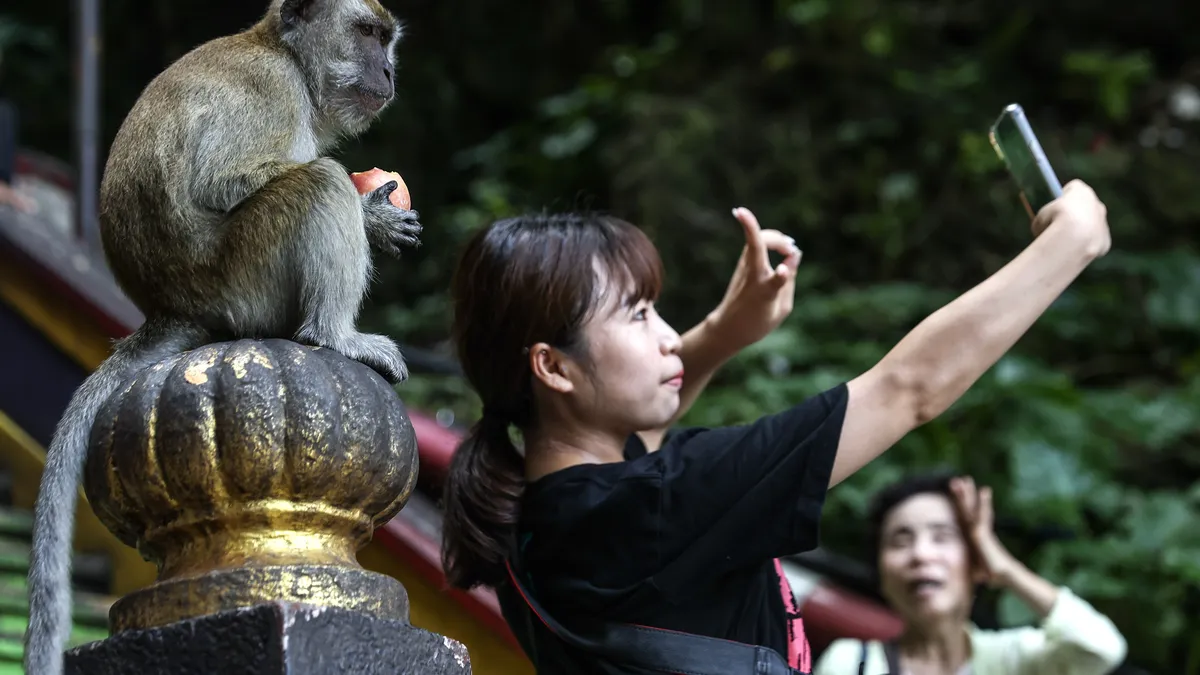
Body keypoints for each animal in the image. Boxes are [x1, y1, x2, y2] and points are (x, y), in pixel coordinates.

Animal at [25, 1, 420, 667]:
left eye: (386, 40)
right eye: (367, 33)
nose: (389, 71)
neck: (286, 55)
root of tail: (173, 306)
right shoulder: (273, 93)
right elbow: (226, 182)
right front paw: (372, 215)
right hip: (244, 278)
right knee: (318, 182)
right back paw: (336, 335)